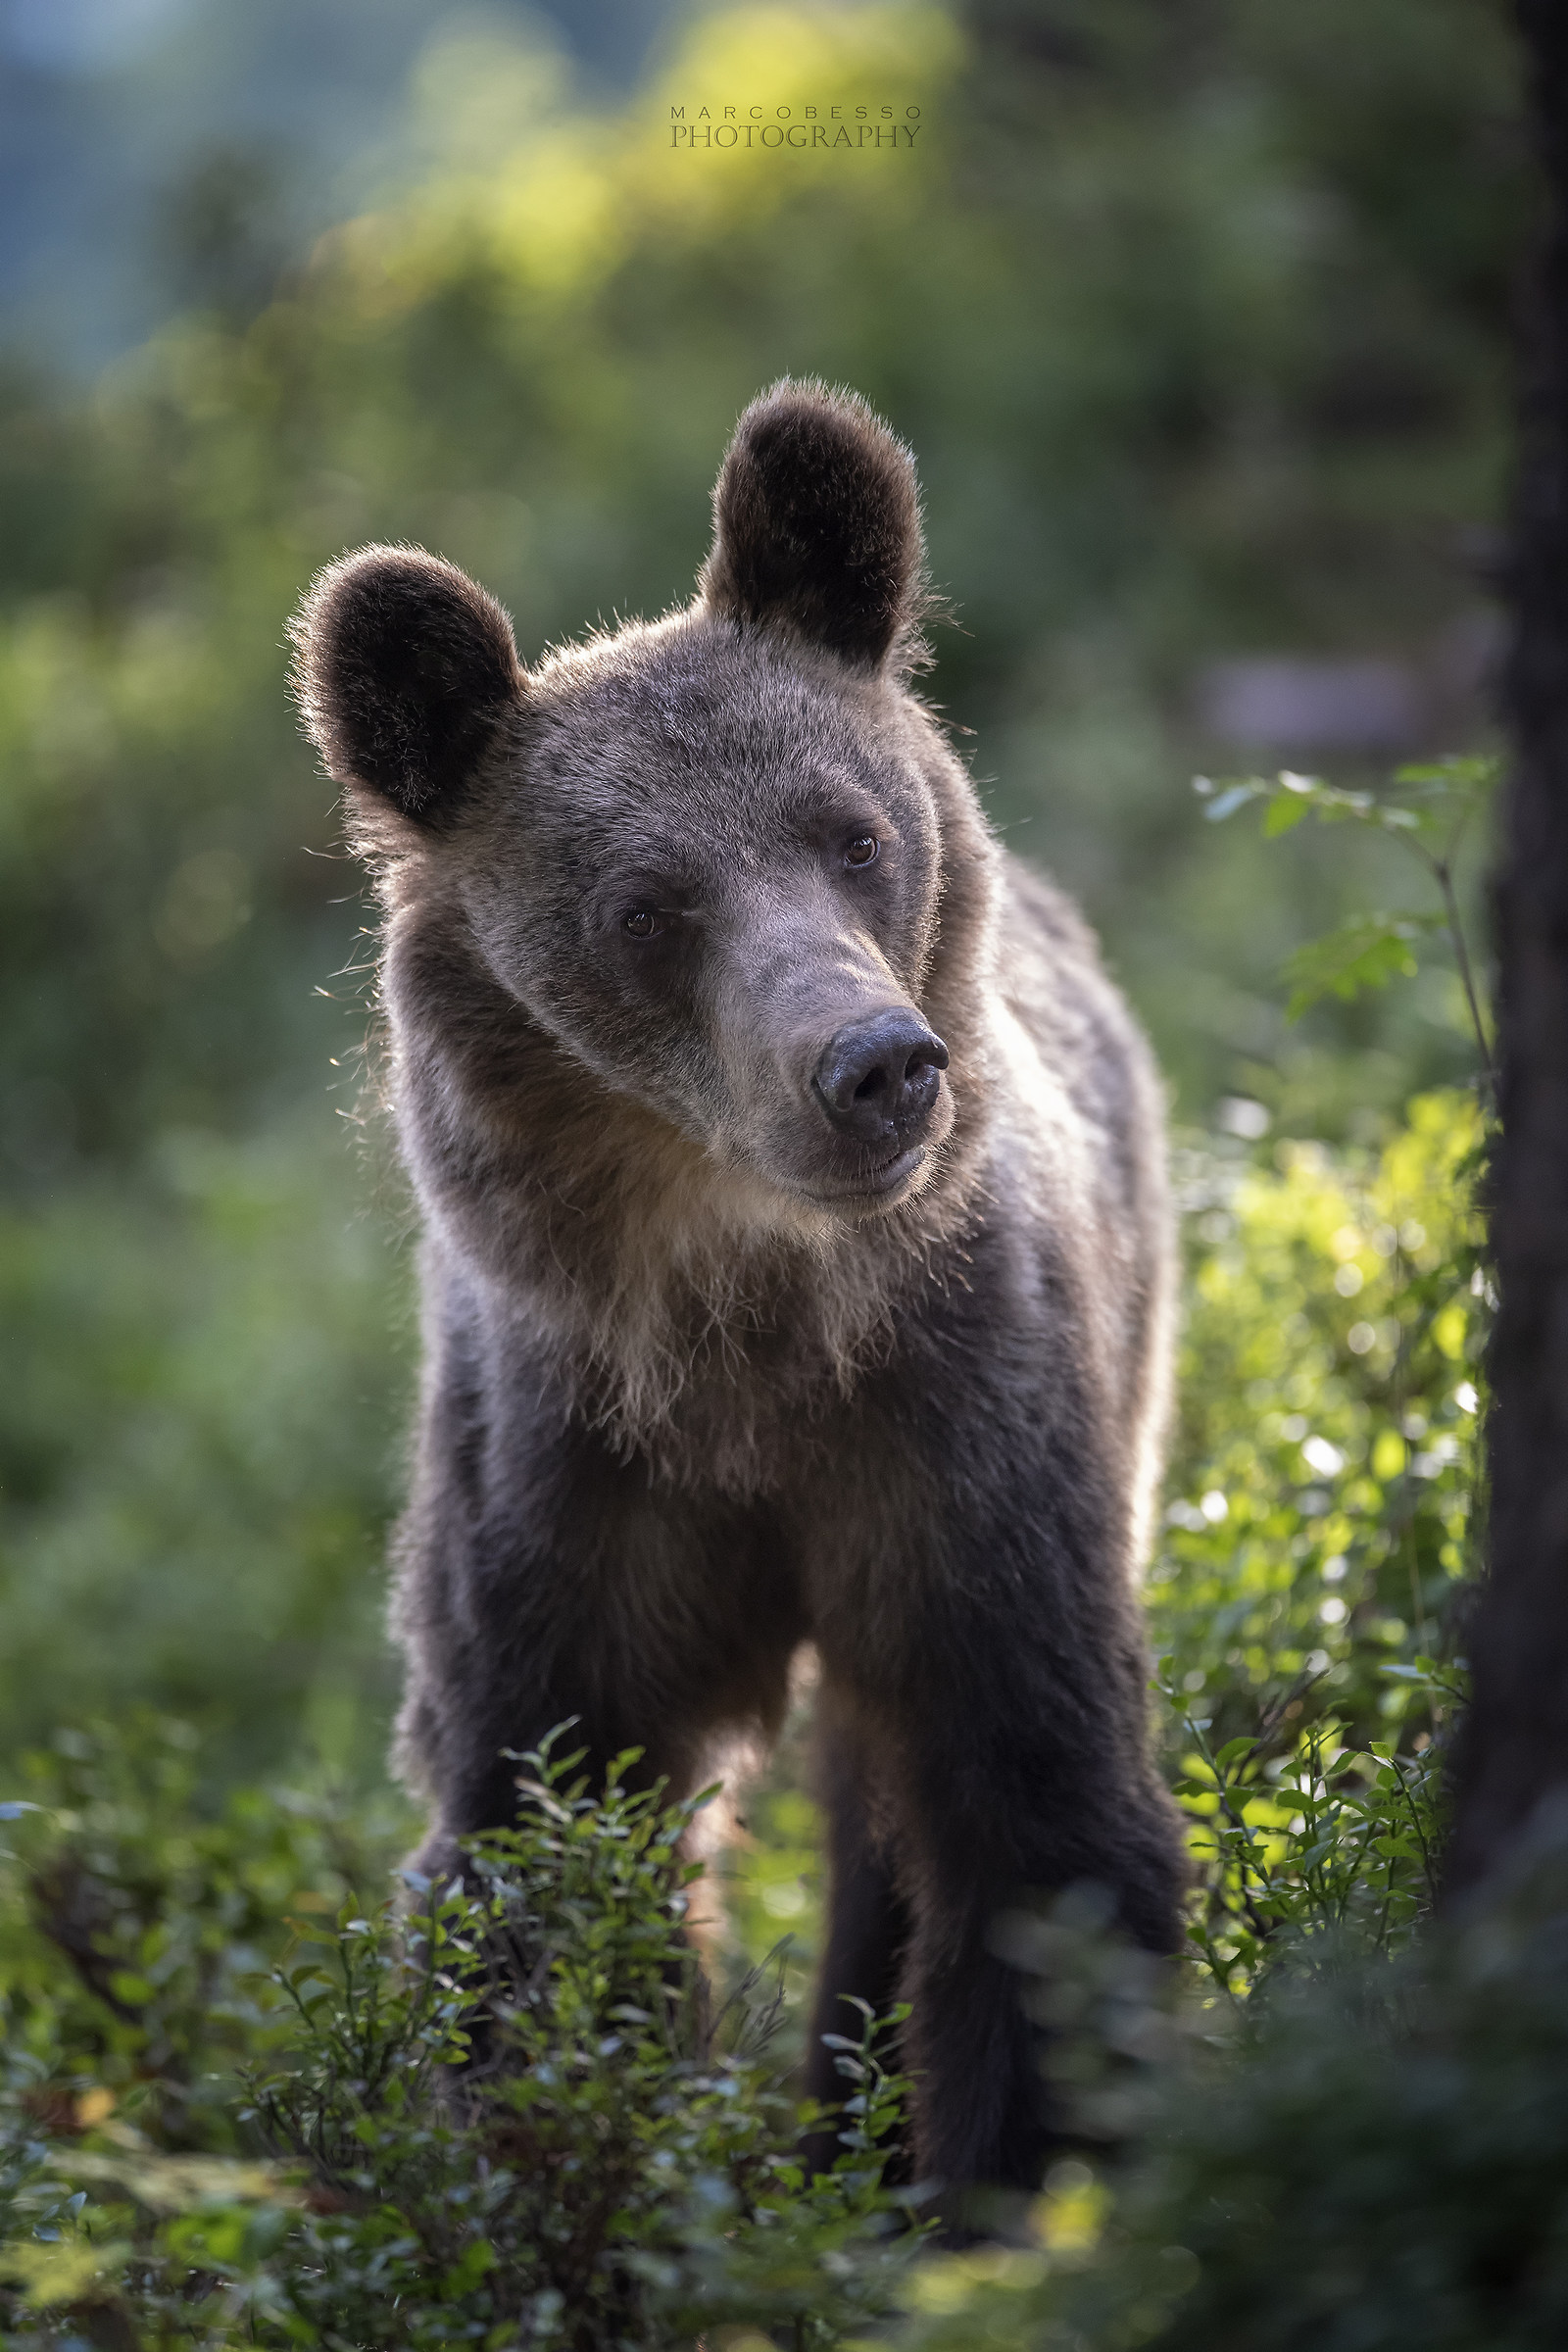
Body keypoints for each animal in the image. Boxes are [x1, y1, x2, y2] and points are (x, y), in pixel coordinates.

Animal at [290, 379, 1186, 2206]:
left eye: (853, 834)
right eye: (649, 907)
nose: (875, 1068)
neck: (751, 1336)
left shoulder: (960, 1441)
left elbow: (1037, 1821)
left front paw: (1008, 2190)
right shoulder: (568, 1489)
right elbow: (540, 1845)